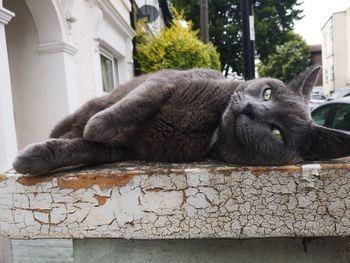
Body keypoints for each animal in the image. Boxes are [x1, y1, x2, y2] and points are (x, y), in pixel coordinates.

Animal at [11, 65, 350, 175]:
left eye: (278, 134)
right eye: (267, 94)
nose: (250, 108)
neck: (210, 127)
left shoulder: (128, 148)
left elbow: (86, 148)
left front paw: (35, 158)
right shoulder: (169, 83)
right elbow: (135, 104)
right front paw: (96, 127)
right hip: (95, 101)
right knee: (85, 114)